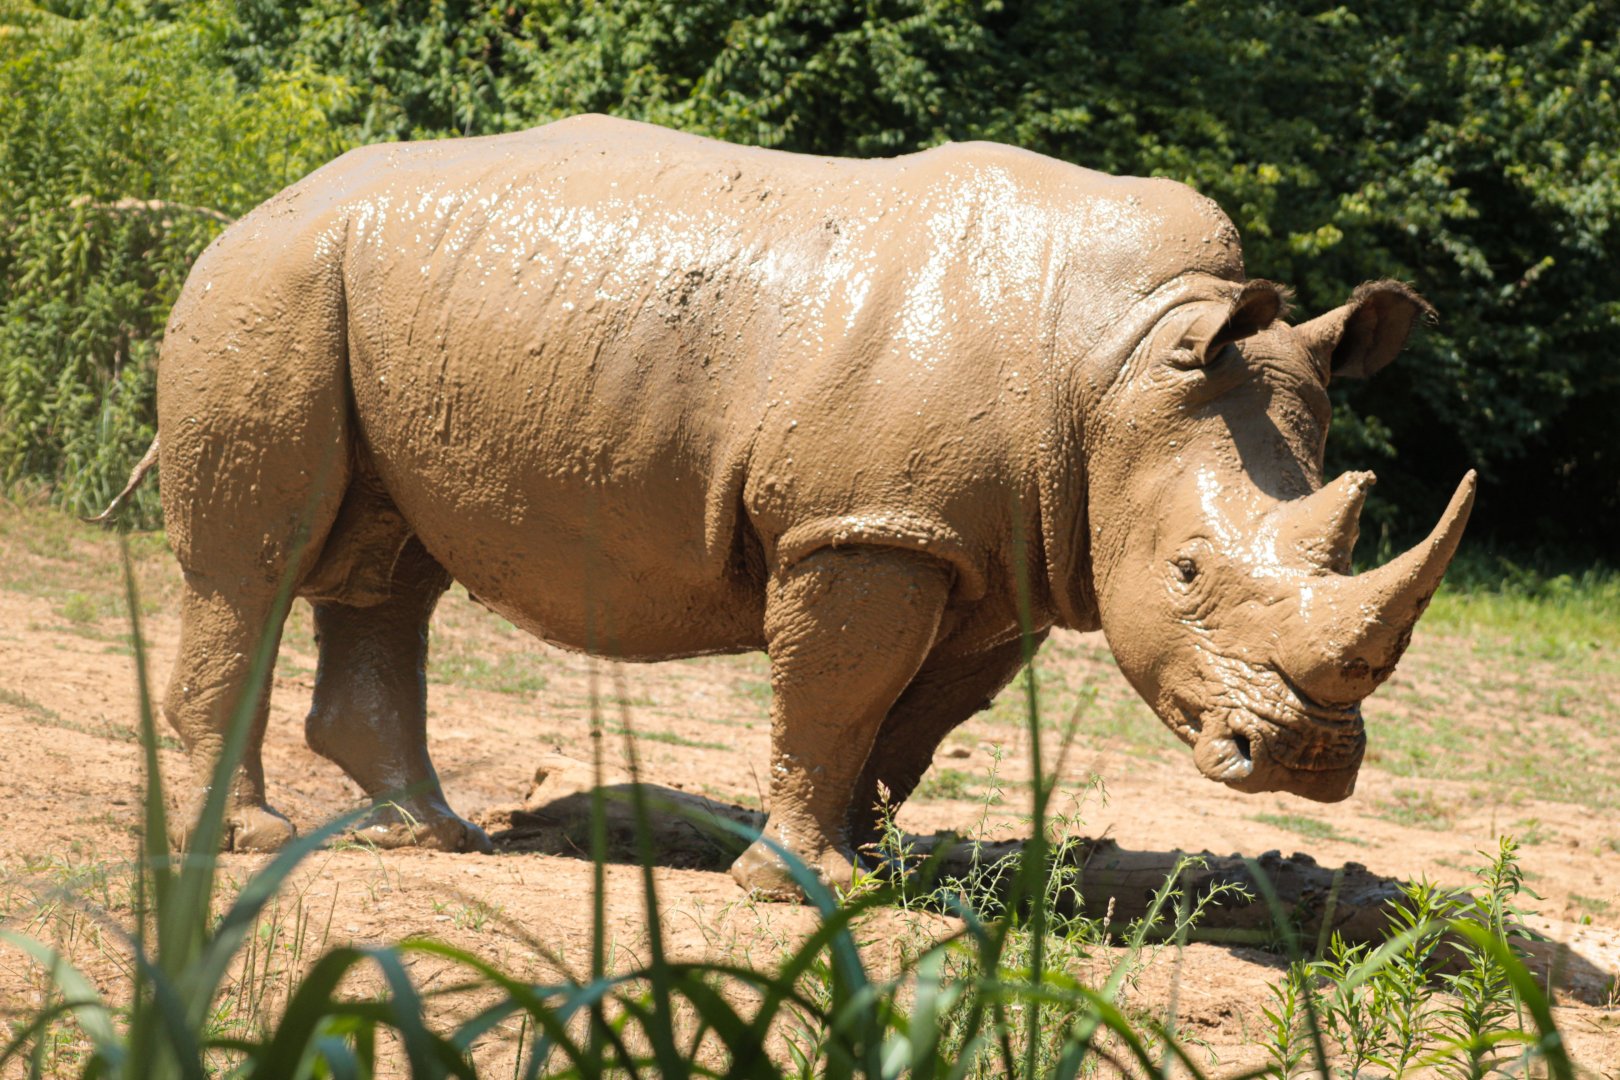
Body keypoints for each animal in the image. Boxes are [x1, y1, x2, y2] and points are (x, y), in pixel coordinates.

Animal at [132, 114, 1473, 896]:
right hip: (272, 289)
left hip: (373, 305)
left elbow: (911, 726)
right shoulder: (869, 526)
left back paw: (433, 835)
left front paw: (878, 872)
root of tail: (256, 206)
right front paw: (800, 891)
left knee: (391, 567)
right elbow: (837, 690)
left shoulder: (987, 556)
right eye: (1190, 571)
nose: (1304, 759)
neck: (1121, 358)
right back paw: (246, 843)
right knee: (254, 566)